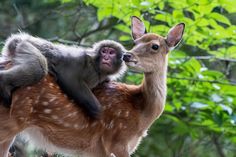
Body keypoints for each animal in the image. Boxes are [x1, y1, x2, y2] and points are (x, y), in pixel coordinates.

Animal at [0, 16, 184, 156]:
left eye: (155, 46)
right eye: (135, 42)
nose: (127, 55)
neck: (142, 115)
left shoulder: (95, 150)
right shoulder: (116, 140)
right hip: (9, 122)